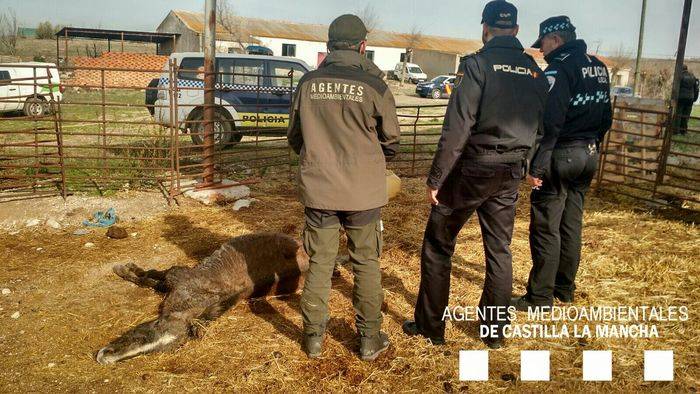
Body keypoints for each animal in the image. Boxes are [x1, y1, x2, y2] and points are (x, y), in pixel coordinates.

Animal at [96, 232, 308, 364]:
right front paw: (126, 268)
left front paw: (125, 270)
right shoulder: (174, 277)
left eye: (151, 351)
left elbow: (148, 278)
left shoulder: (176, 277)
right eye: (146, 331)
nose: (103, 358)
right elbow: (150, 276)